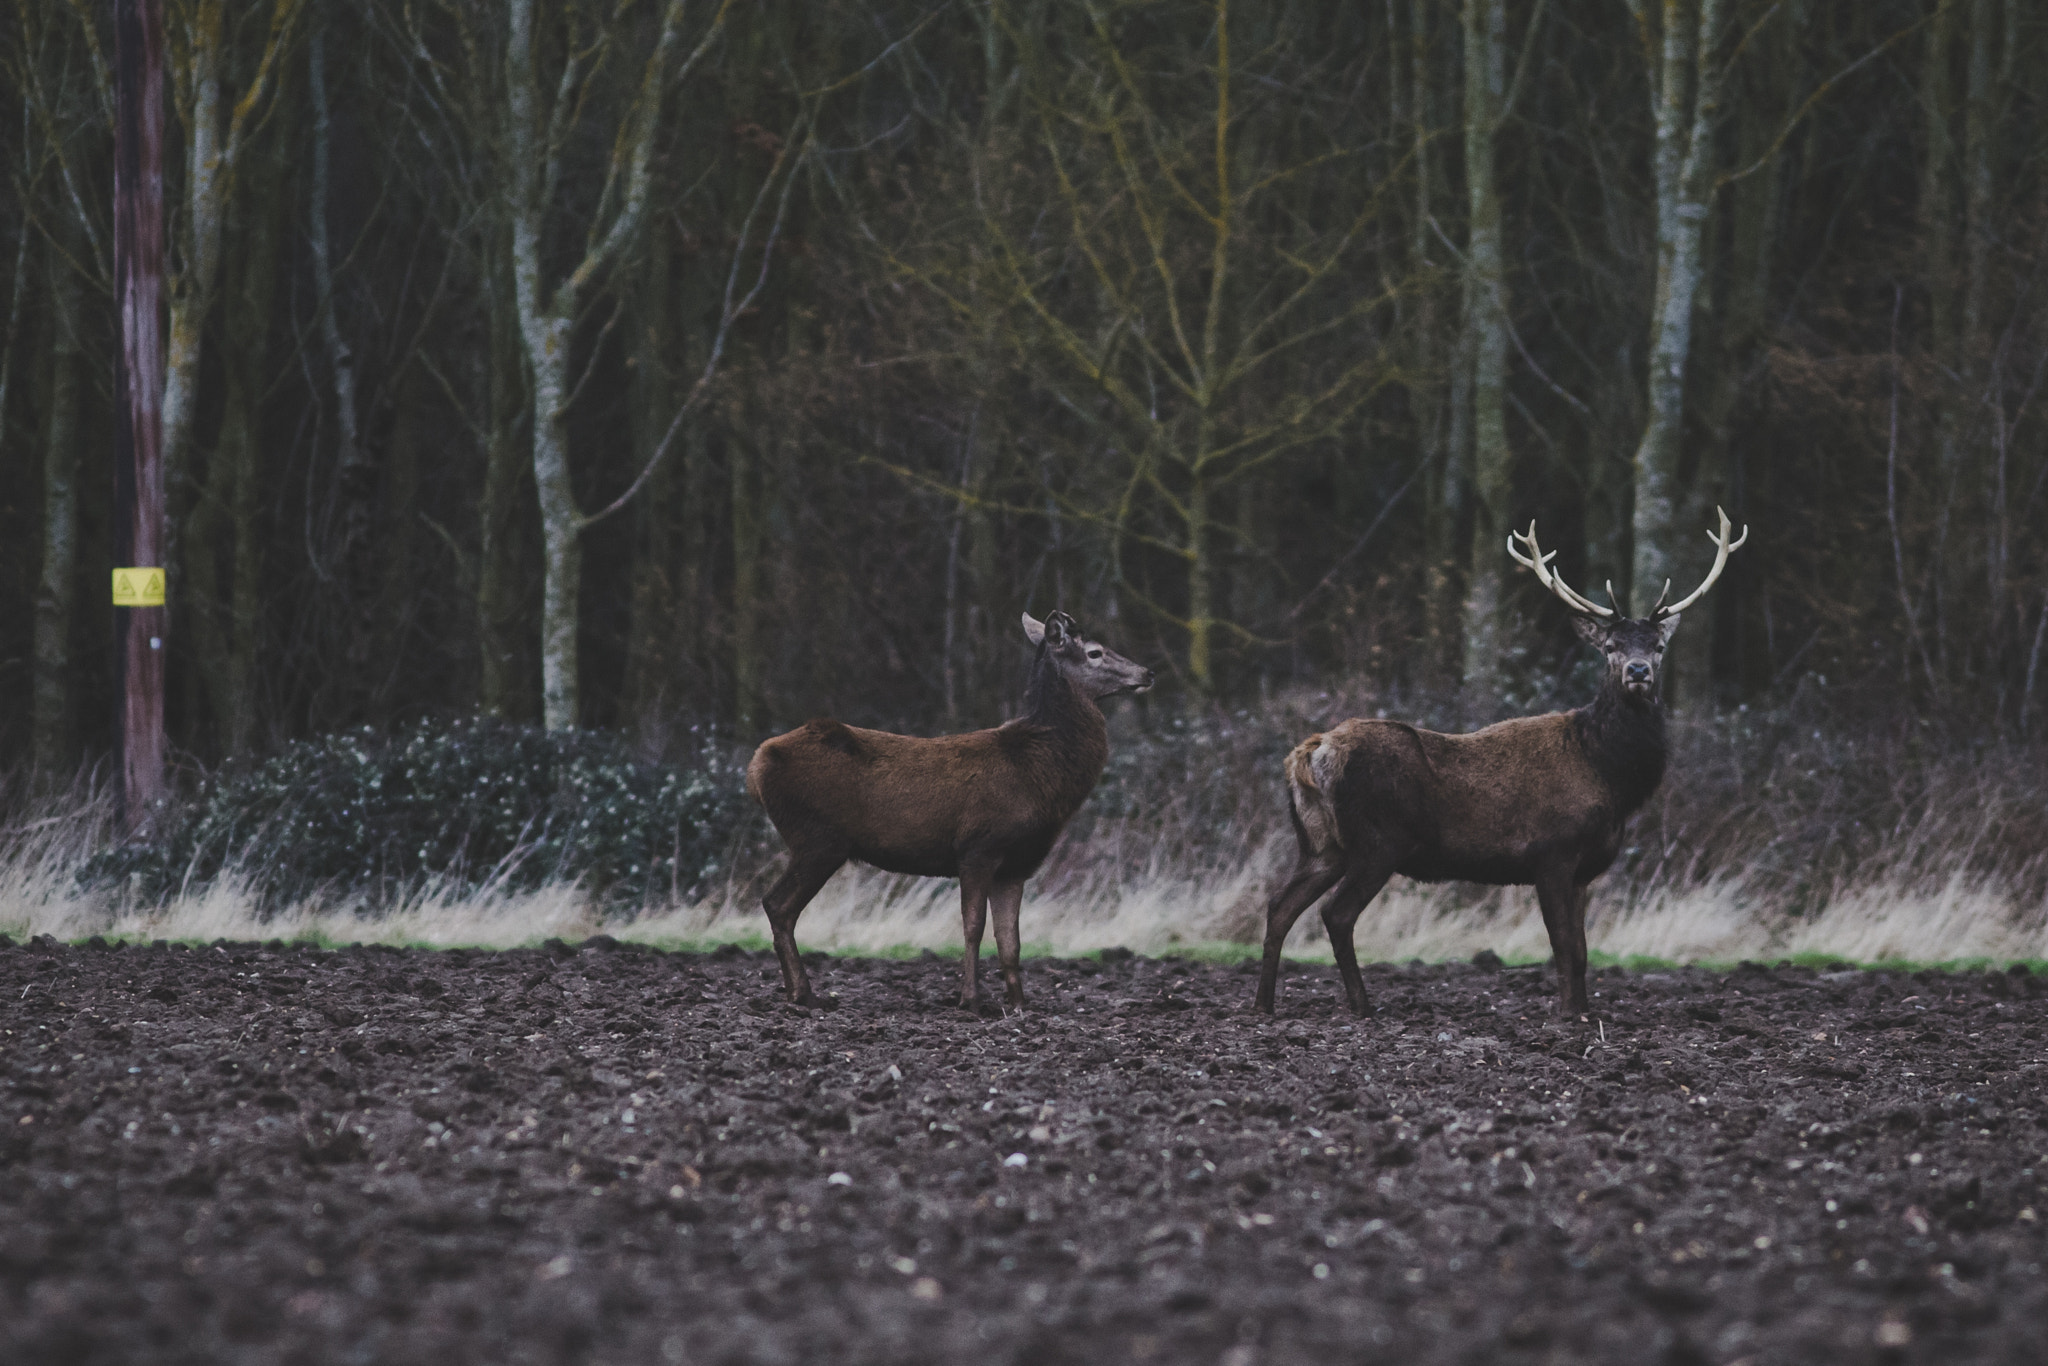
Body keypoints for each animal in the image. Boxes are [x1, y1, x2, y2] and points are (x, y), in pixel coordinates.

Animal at [745, 610, 1155, 1015]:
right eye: (1094, 652)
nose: (1147, 672)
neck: (1038, 772)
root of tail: (757, 764)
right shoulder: (978, 846)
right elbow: (973, 926)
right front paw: (971, 999)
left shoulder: (1017, 865)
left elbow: (1010, 939)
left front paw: (1019, 1004)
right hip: (818, 838)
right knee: (778, 905)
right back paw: (804, 994)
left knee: (777, 905)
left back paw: (797, 993)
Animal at [1253, 507, 1753, 1019]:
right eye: (1610, 646)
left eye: (1658, 646)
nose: (1638, 671)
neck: (1609, 777)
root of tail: (1310, 752)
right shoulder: (1551, 853)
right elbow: (1563, 946)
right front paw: (1568, 1015)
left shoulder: (1584, 869)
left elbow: (1583, 950)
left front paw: (1585, 1011)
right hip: (1377, 841)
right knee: (1335, 913)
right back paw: (1362, 1006)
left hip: (1321, 843)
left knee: (1279, 905)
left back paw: (1263, 1005)